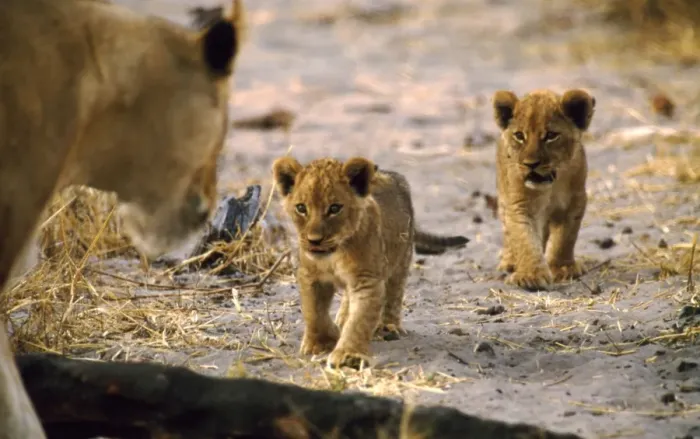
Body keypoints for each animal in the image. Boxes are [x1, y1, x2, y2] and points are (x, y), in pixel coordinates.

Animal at [272, 156, 469, 369]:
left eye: (334, 208)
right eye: (301, 208)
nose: (314, 240)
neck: (335, 254)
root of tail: (389, 173)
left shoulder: (367, 280)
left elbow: (359, 321)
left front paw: (348, 354)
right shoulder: (311, 276)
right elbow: (314, 311)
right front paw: (321, 343)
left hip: (401, 258)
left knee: (394, 295)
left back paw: (388, 326)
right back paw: (342, 319)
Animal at [491, 88, 595, 291]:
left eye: (550, 135)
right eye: (519, 135)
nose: (530, 164)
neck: (549, 189)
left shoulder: (575, 202)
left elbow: (565, 238)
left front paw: (562, 268)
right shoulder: (518, 204)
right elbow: (523, 238)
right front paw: (530, 275)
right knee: (508, 233)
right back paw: (509, 261)